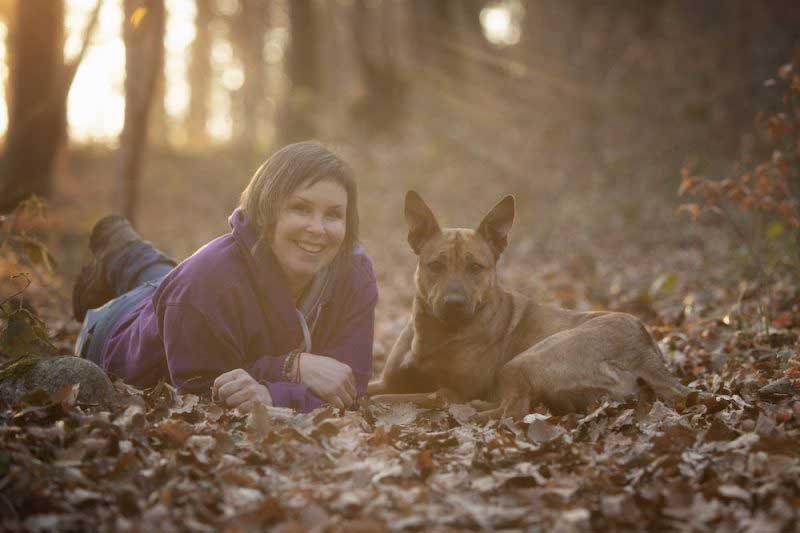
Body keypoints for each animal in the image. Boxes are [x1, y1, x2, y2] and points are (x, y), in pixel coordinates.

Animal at [368, 189, 688, 418]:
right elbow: (373, 386)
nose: (454, 303)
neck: (435, 333)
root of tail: (646, 351)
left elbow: (391, 396)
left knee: (513, 410)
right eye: (435, 265)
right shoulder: (390, 380)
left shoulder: (452, 390)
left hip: (526, 359)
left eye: (476, 267)